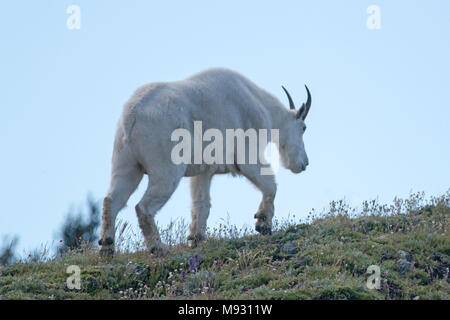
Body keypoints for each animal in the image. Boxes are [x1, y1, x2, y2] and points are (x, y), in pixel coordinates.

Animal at [99, 67, 312, 255]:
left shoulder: (204, 171)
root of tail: (132, 117)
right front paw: (263, 223)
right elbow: (270, 185)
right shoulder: (247, 153)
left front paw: (196, 238)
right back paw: (158, 248)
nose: (305, 163)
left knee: (112, 199)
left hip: (125, 161)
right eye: (304, 127)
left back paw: (107, 246)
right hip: (166, 167)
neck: (260, 104)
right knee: (143, 207)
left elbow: (201, 203)